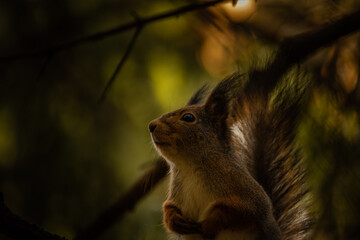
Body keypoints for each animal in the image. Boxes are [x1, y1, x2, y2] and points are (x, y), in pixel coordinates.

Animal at [149, 73, 312, 240]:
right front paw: (174, 219)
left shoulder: (252, 199)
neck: (190, 168)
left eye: (188, 117)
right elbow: (169, 208)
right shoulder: (176, 195)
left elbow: (236, 212)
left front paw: (211, 223)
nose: (151, 125)